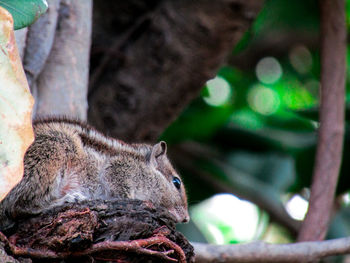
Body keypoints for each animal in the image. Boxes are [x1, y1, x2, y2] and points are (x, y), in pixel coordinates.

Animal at [0, 118, 189, 230]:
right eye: (176, 182)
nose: (186, 219)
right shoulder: (117, 170)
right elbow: (121, 191)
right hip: (51, 155)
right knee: (21, 206)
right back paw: (69, 199)